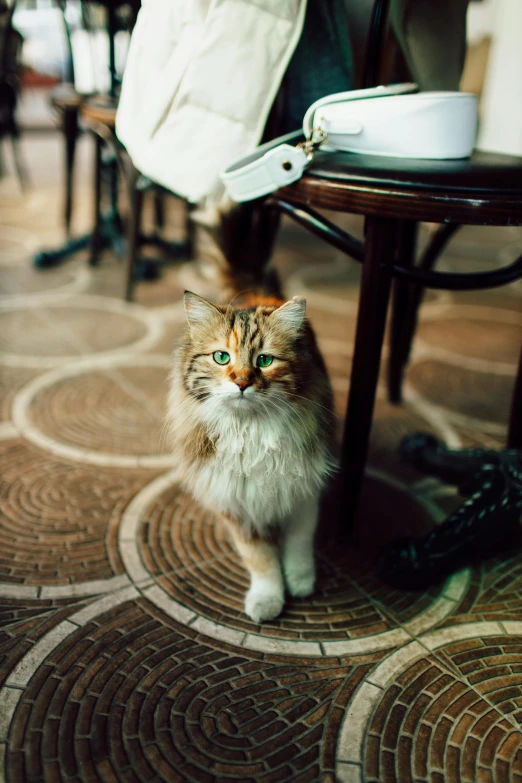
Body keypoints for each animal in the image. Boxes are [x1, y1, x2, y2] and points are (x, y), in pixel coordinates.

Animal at [168, 290, 338, 620]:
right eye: (222, 357)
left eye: (264, 360)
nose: (242, 382)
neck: (251, 429)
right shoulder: (238, 506)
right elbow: (261, 561)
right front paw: (268, 600)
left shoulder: (303, 491)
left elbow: (299, 544)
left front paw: (300, 582)